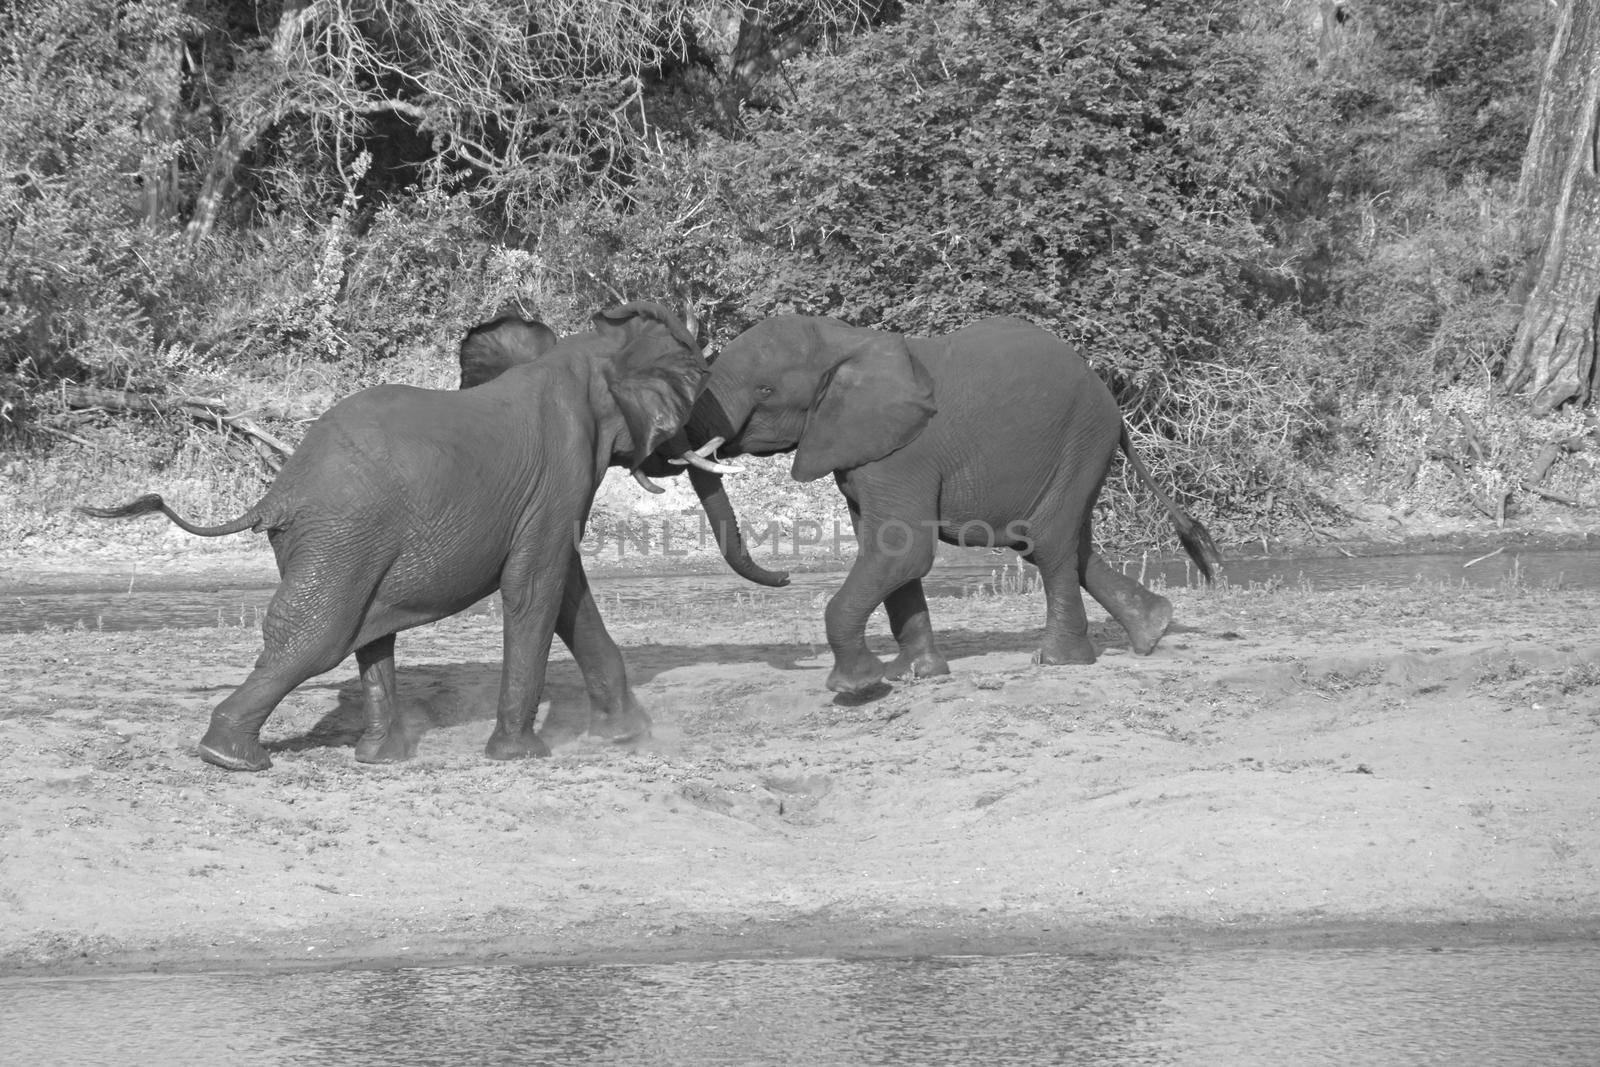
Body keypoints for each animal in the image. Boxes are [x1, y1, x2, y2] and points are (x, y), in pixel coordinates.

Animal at [678, 313, 1222, 697]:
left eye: (765, 389)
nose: (787, 576)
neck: (846, 340)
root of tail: (1116, 409)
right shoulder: (863, 450)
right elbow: (888, 553)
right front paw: (916, 675)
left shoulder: (903, 453)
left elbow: (902, 552)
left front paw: (858, 685)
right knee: (1070, 546)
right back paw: (1153, 630)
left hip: (1081, 442)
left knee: (1049, 547)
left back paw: (1059, 661)